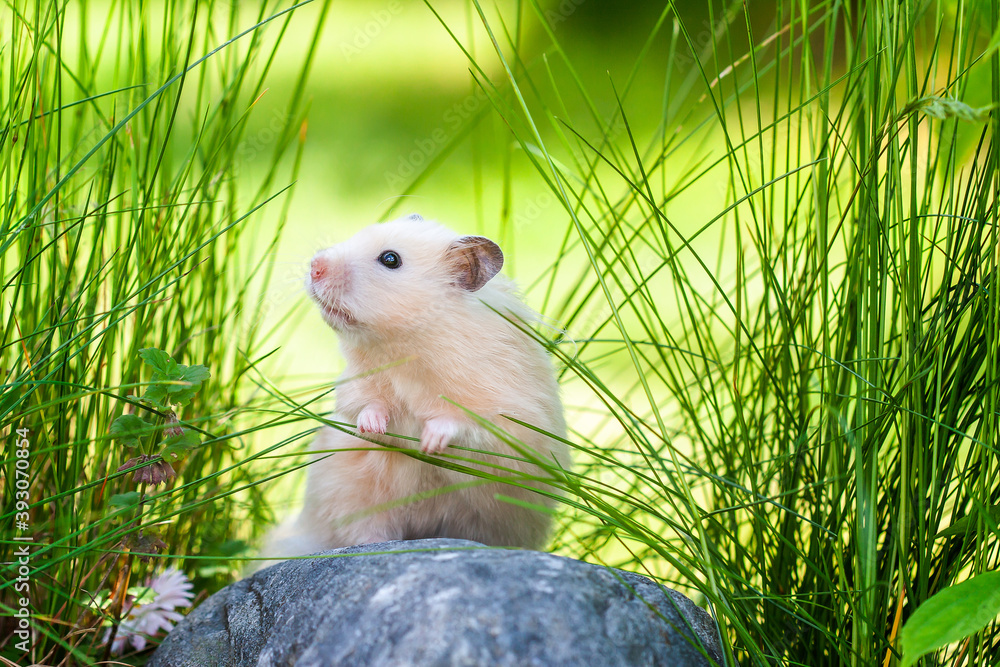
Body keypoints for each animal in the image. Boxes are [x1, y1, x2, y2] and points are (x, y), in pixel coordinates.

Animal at [262, 214, 568, 560]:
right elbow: (365, 404)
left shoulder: (507, 414)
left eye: (390, 259)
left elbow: (465, 423)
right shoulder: (359, 382)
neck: (409, 346)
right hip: (352, 500)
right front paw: (372, 429)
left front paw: (428, 443)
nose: (314, 266)